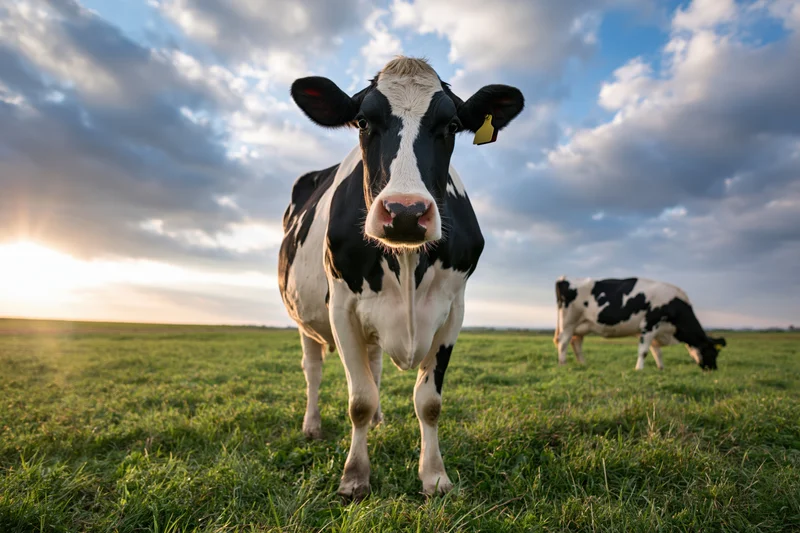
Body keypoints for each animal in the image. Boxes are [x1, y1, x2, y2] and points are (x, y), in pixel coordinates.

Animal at [278, 57, 524, 500]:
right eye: (362, 121)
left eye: (451, 125)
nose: (405, 212)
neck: (407, 264)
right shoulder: (341, 308)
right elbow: (358, 399)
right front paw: (354, 476)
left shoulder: (453, 310)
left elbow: (428, 401)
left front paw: (435, 476)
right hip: (305, 321)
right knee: (314, 368)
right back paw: (312, 426)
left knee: (374, 366)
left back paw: (379, 422)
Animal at [553, 276, 726, 371]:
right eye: (712, 352)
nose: (714, 369)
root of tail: (564, 280)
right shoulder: (650, 325)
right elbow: (644, 351)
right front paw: (639, 369)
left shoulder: (654, 330)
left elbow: (657, 351)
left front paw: (661, 368)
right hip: (568, 322)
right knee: (563, 342)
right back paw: (562, 363)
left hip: (581, 325)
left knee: (576, 343)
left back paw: (583, 364)